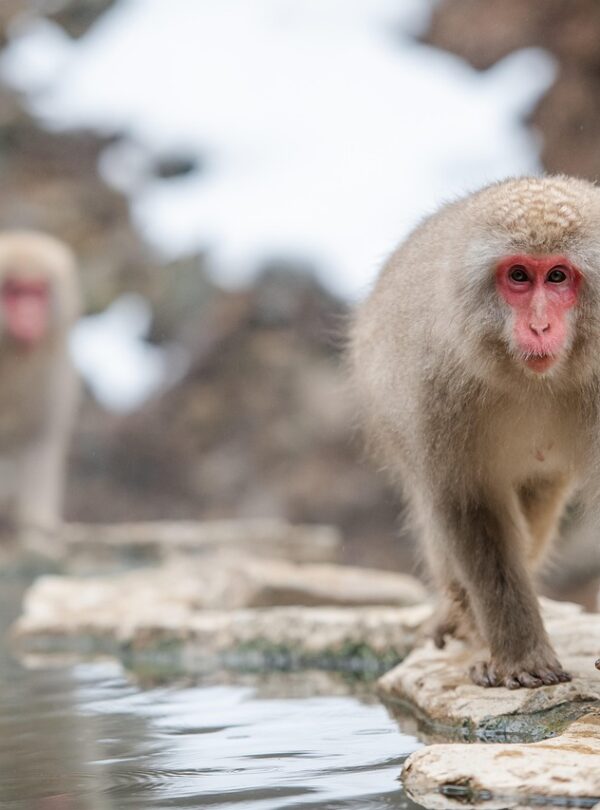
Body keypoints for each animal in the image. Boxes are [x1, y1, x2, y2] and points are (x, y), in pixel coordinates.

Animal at [0, 231, 80, 550]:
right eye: (14, 292)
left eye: (37, 292)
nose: (29, 314)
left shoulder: (51, 371)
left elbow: (39, 435)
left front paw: (38, 526)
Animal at [350, 175, 600, 689]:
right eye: (519, 276)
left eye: (558, 277)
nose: (539, 326)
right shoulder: (435, 388)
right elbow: (468, 504)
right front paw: (521, 657)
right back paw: (467, 623)